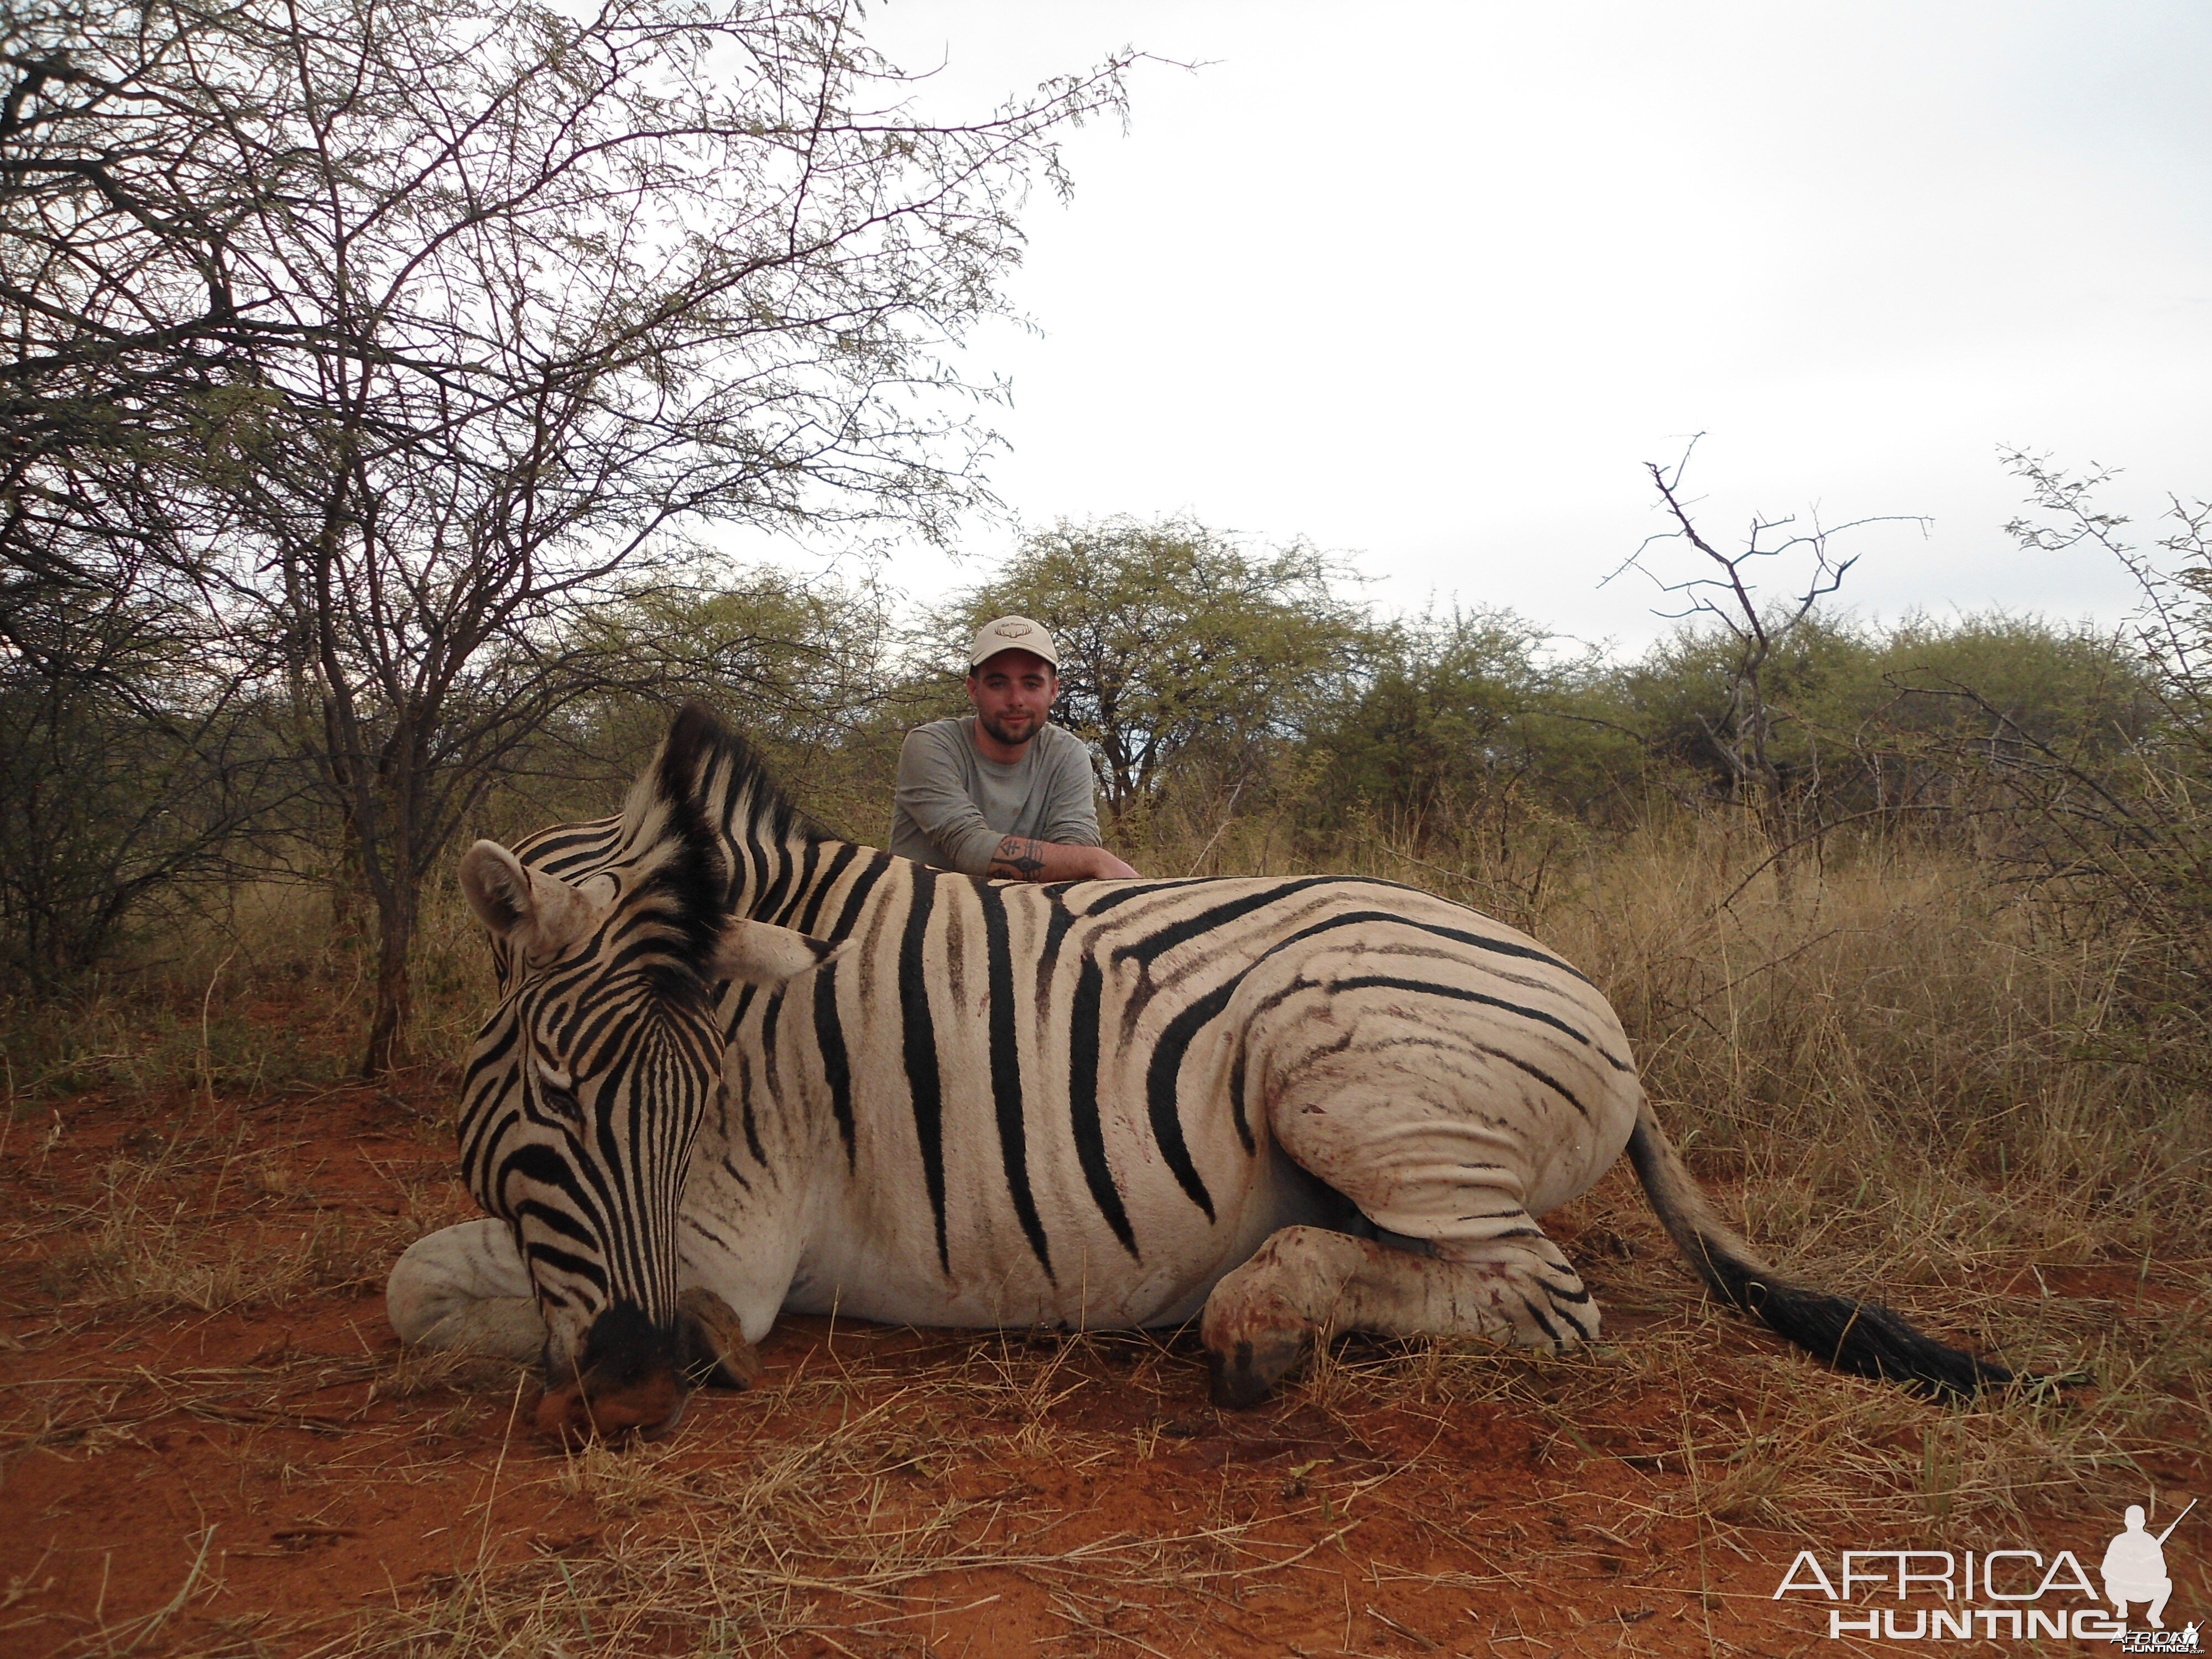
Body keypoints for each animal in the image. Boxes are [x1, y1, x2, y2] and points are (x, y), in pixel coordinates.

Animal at [389, 703, 2017, 1442]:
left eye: (695, 1101)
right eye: (555, 1089)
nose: (641, 1388)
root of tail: (1594, 997)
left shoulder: (731, 1248)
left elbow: (426, 1287)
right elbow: (437, 1279)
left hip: (1331, 1058)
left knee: (1542, 1299)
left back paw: (1259, 1324)